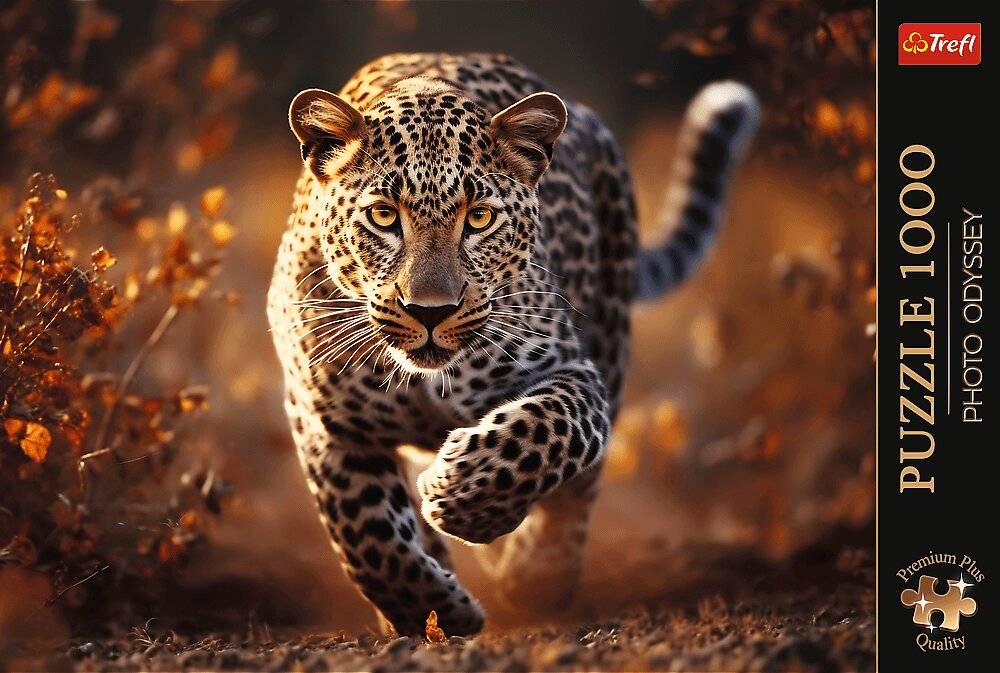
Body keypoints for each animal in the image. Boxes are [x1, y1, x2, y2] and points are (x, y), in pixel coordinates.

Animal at [267, 52, 758, 637]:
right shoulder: (324, 420)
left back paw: (538, 574)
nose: (430, 310)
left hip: (611, 335)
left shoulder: (573, 373)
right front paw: (433, 611)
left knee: (578, 492)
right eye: (384, 215)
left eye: (479, 218)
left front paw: (463, 497)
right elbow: (366, 534)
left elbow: (545, 432)